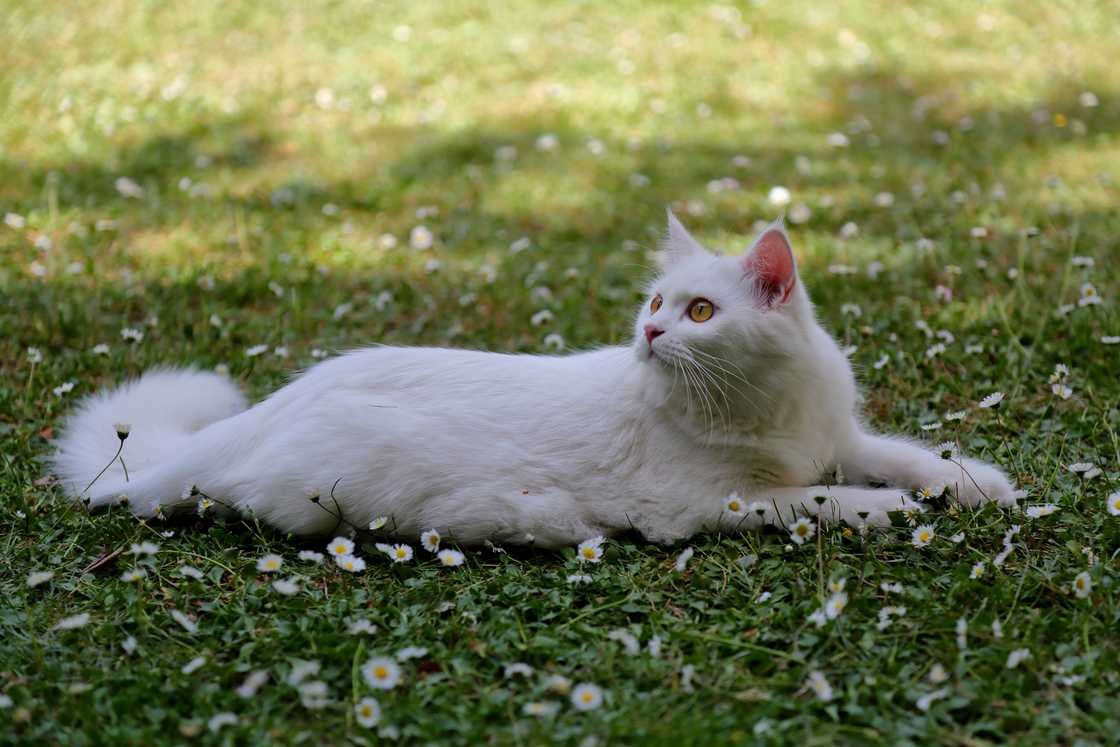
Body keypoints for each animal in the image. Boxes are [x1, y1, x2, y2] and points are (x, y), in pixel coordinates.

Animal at [50, 212, 1016, 546]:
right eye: (657, 303)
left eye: (700, 311)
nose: (650, 332)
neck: (765, 404)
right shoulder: (706, 503)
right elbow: (819, 496)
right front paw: (886, 509)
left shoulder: (839, 435)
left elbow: (905, 455)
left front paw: (975, 484)